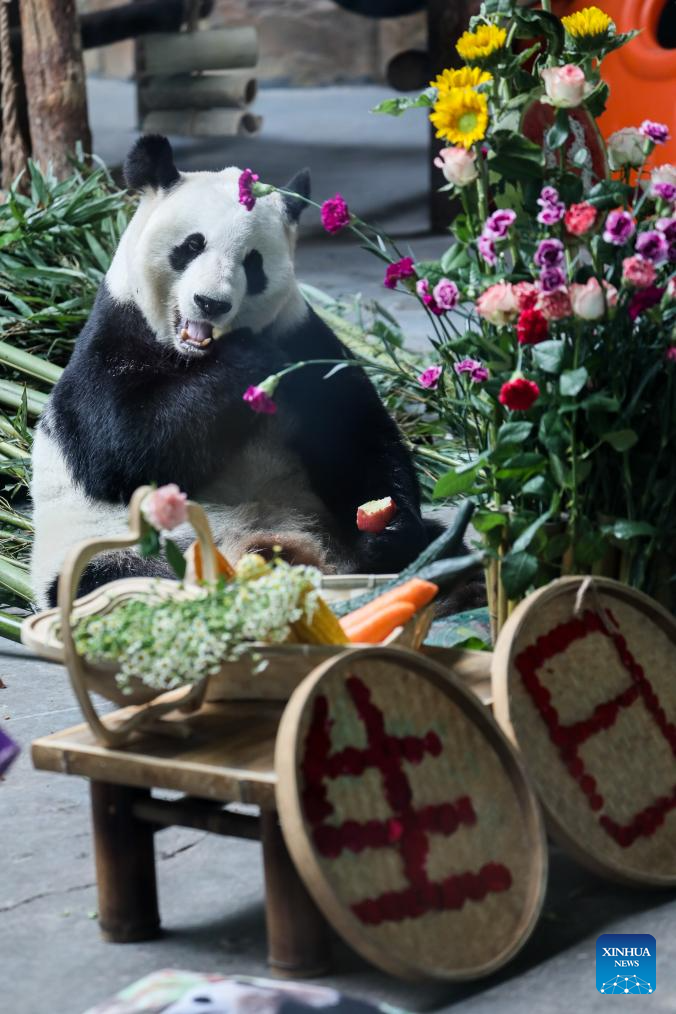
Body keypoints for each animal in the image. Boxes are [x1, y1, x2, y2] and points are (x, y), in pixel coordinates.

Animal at [31, 137, 441, 604]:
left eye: (253, 262)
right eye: (192, 245)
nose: (211, 303)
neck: (193, 356)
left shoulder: (307, 339)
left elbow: (357, 436)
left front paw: (388, 529)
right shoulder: (113, 337)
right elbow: (119, 447)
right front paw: (251, 357)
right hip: (114, 546)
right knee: (109, 579)